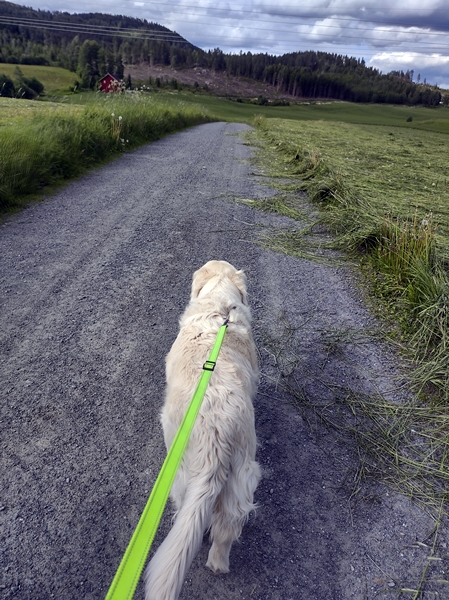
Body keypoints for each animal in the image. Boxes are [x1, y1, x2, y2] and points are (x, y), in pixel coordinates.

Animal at [145, 260, 260, 600]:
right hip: (241, 475)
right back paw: (218, 564)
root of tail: (215, 433)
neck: (220, 307)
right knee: (226, 529)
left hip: (181, 475)